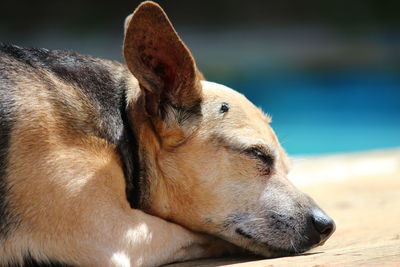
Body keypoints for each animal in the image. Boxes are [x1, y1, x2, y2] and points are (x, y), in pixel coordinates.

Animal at [0, 1, 334, 266]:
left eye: (289, 166)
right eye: (257, 155)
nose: (326, 225)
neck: (125, 129)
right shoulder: (111, 235)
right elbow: (201, 234)